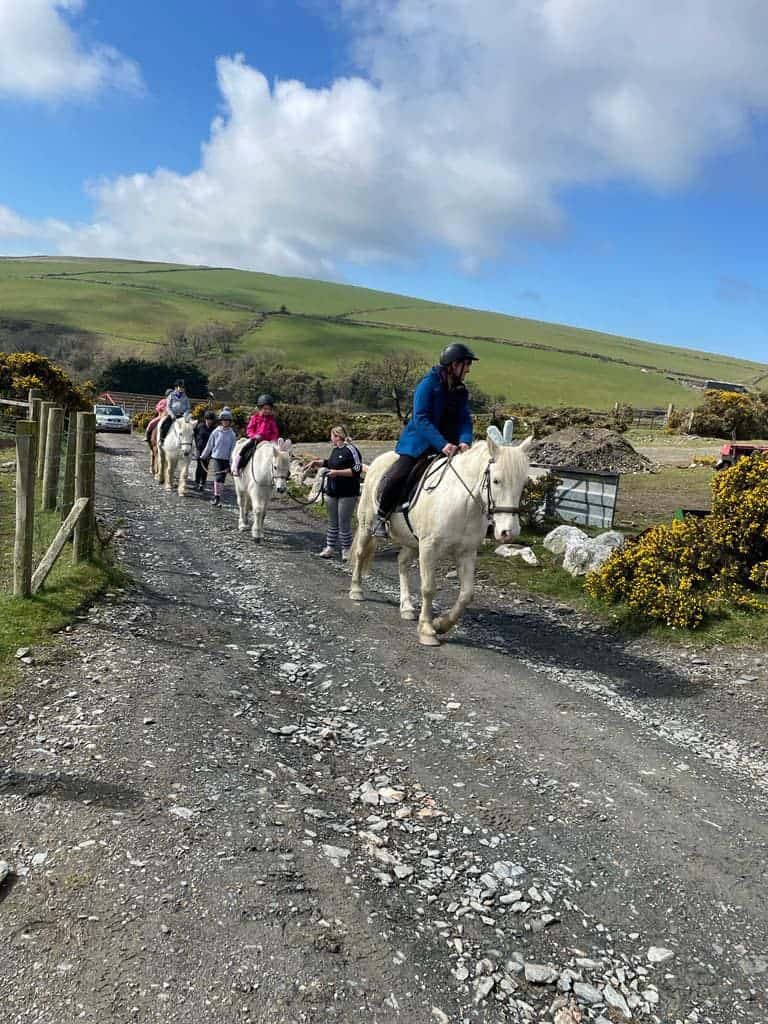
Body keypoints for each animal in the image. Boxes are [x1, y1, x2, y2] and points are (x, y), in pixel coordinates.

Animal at [352, 423, 532, 647]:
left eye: (523, 483)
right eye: (497, 481)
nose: (509, 532)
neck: (464, 504)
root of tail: (376, 463)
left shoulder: (466, 552)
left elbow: (466, 594)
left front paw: (441, 624)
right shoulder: (429, 548)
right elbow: (429, 588)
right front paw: (427, 630)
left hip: (411, 541)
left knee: (402, 562)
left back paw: (407, 607)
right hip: (367, 526)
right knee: (360, 554)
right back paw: (356, 591)